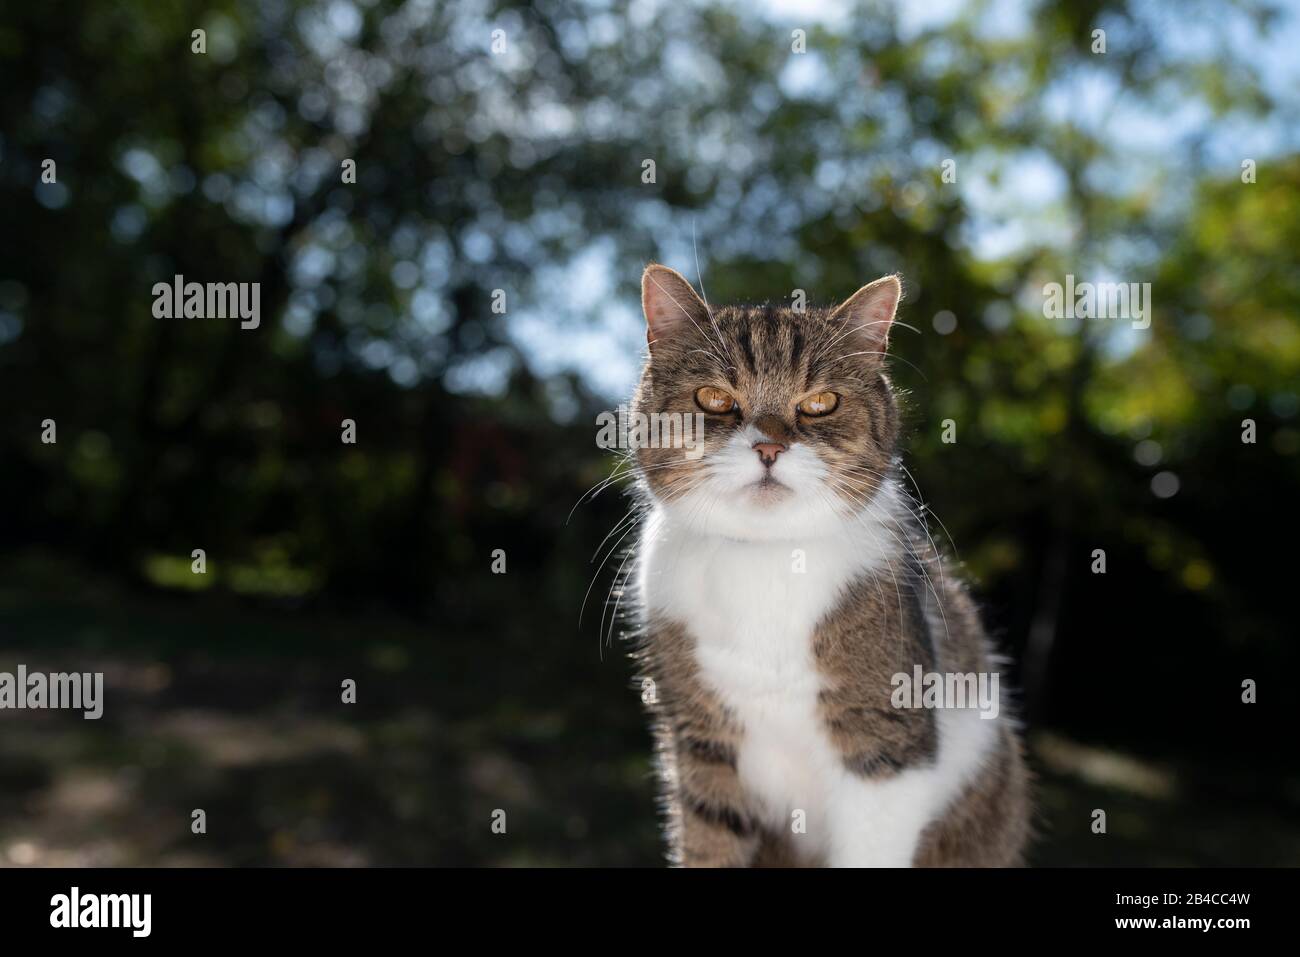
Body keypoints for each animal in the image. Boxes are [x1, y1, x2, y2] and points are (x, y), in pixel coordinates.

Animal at [626, 261, 1024, 868]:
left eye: (819, 403)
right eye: (714, 398)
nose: (768, 448)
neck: (767, 559)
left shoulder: (886, 752)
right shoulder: (699, 743)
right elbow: (711, 839)